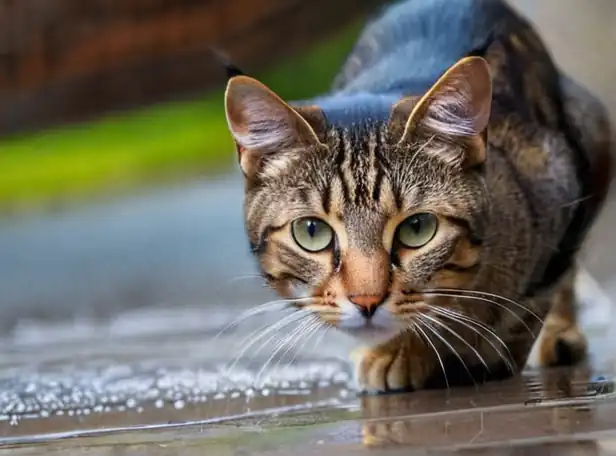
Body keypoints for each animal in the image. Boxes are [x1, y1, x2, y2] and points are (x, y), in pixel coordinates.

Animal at [221, 0, 612, 392]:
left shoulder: (565, 183)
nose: (366, 301)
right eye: (311, 232)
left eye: (418, 228)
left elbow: (532, 300)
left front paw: (476, 348)